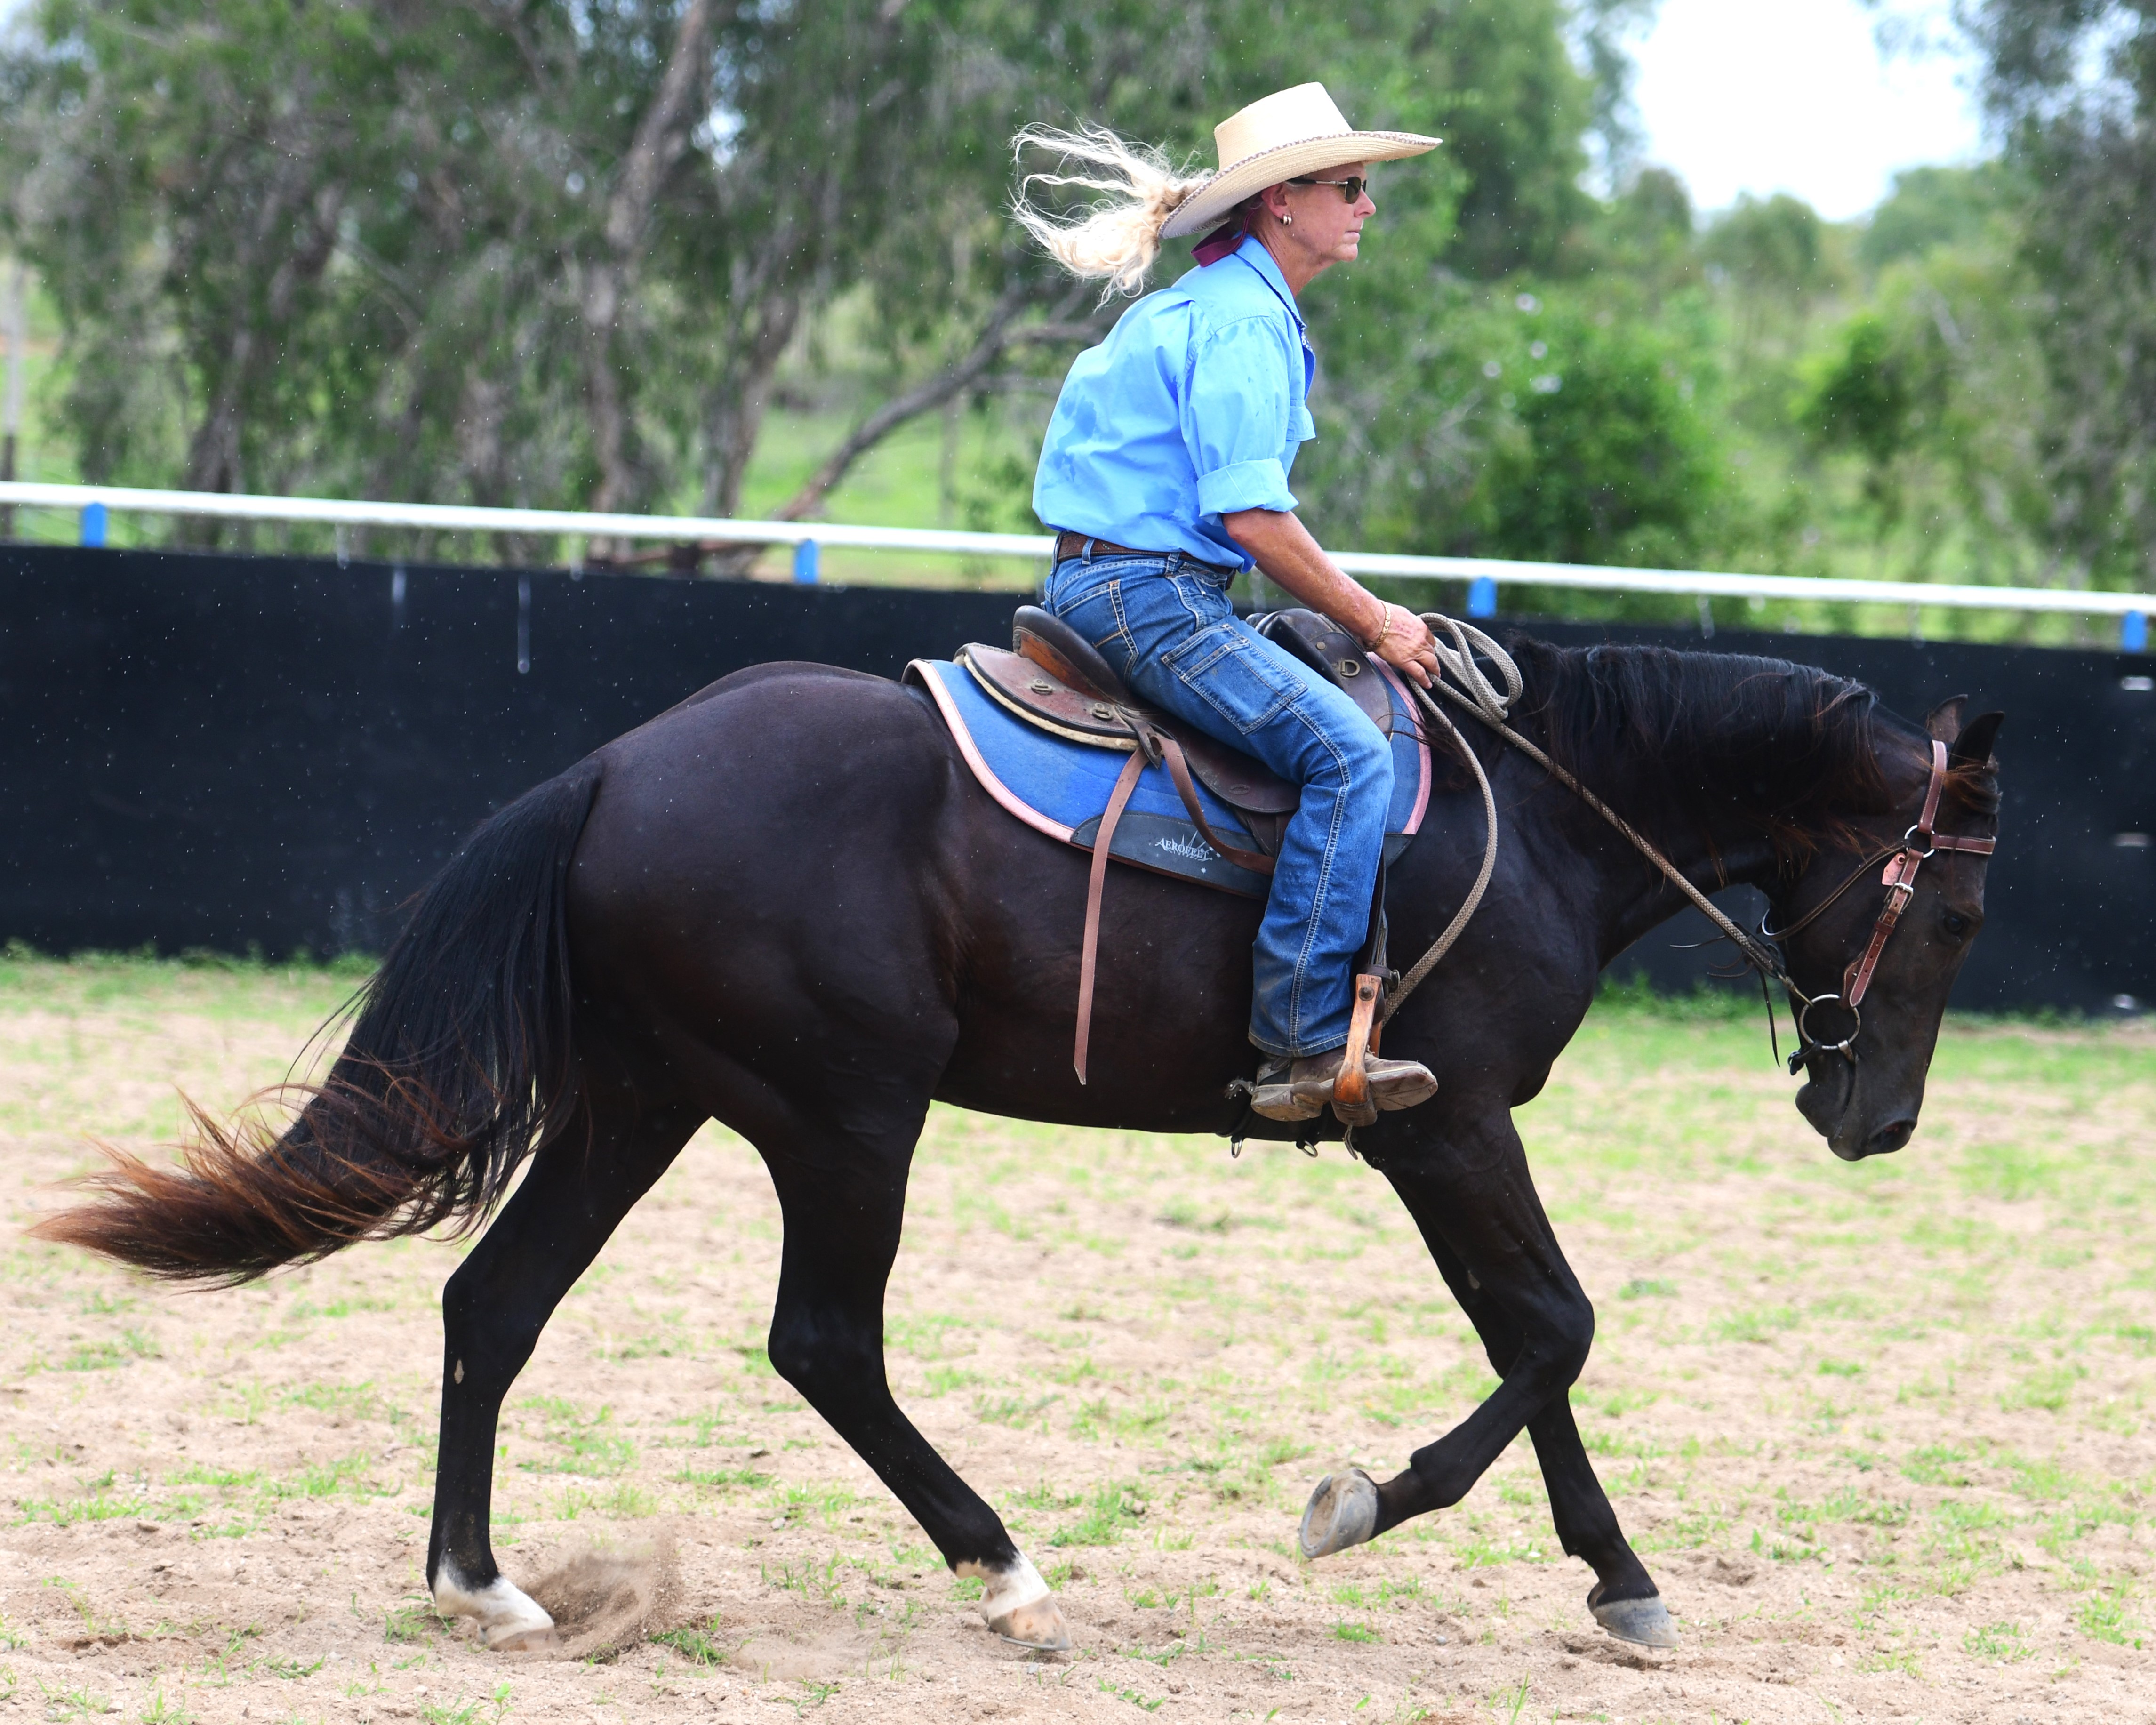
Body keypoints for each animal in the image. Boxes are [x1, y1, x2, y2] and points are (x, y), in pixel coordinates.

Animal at [37, 634, 2004, 1656]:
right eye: (1960, 916)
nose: (1883, 1119)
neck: (1531, 820)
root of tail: (614, 768)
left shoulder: (1447, 1142)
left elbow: (1542, 1339)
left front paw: (1620, 1578)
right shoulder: (1444, 1129)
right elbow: (1555, 1330)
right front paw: (1360, 1508)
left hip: (641, 1103)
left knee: (492, 1308)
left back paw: (486, 1583)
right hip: (841, 1115)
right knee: (821, 1341)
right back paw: (997, 1562)